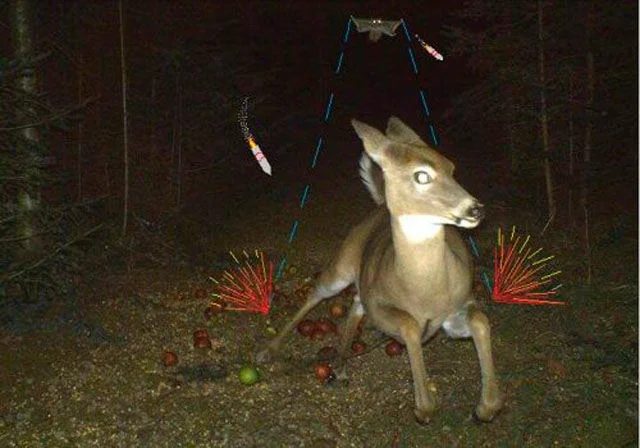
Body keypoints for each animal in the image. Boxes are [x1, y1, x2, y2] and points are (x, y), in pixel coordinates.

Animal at [256, 117, 503, 423]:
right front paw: (424, 407)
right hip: (342, 265)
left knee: (354, 303)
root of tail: (380, 207)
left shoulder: (457, 307)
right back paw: (268, 351)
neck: (424, 292)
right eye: (421, 176)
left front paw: (485, 407)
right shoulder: (380, 308)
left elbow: (480, 320)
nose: (475, 209)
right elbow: (410, 325)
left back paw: (341, 365)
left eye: (451, 167)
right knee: (317, 294)